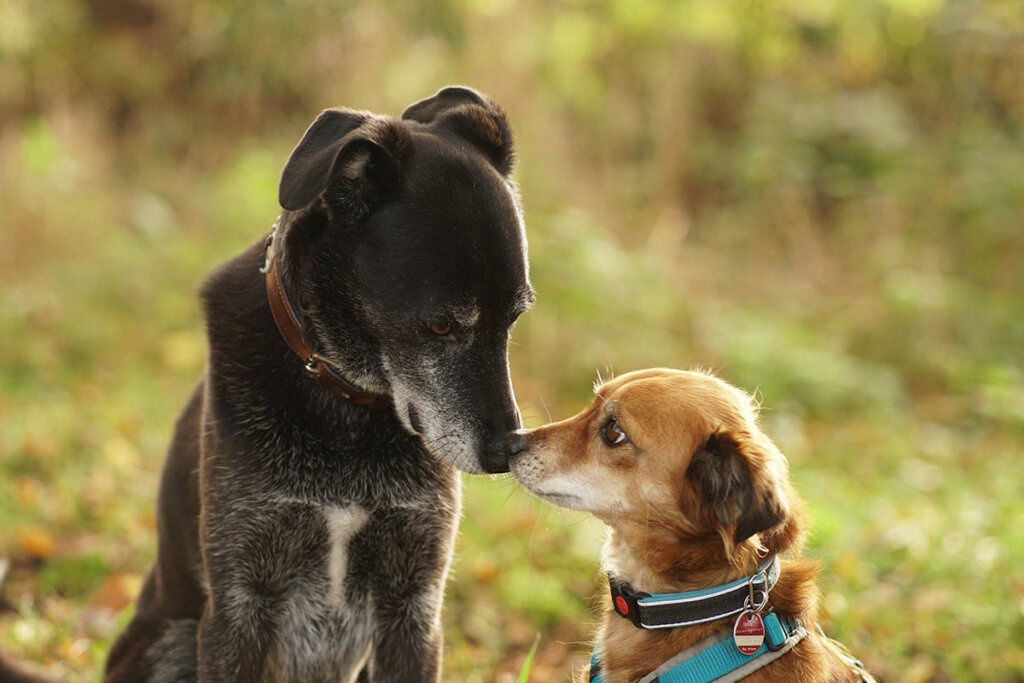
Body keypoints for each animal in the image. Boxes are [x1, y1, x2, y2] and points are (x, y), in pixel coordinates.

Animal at [101, 88, 536, 679]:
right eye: (441, 326)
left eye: (514, 319)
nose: (503, 453)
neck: (346, 402)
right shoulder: (238, 605)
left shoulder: (412, 607)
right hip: (173, 639)